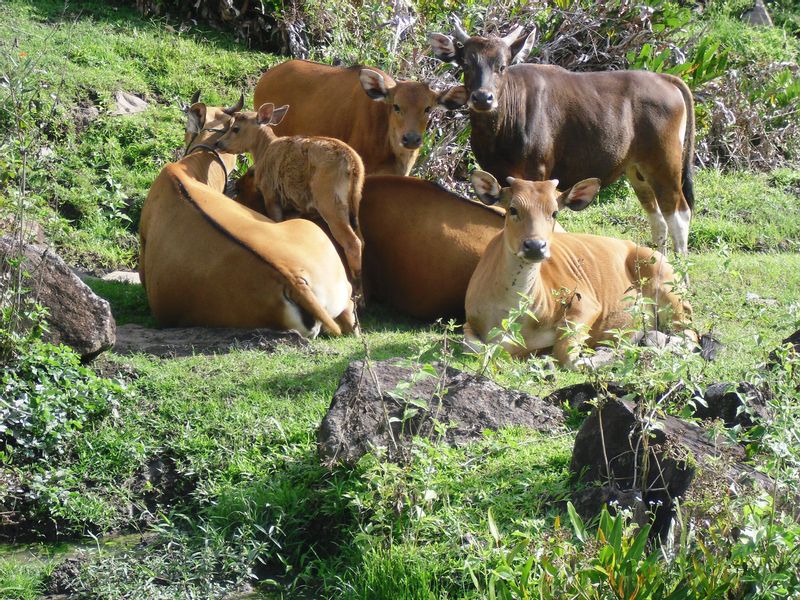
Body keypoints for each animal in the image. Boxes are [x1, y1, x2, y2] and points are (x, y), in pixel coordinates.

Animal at [428, 20, 696, 255]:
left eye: (502, 66)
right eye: (466, 64)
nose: (483, 98)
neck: (500, 130)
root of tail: (666, 78)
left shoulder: (537, 171)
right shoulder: (496, 173)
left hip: (665, 163)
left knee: (679, 214)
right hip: (637, 170)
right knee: (658, 218)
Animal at [462, 170, 692, 370]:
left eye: (554, 212)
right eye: (512, 209)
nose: (535, 246)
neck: (514, 315)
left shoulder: (587, 306)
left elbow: (569, 357)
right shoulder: (470, 323)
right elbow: (475, 347)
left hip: (669, 291)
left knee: (688, 336)